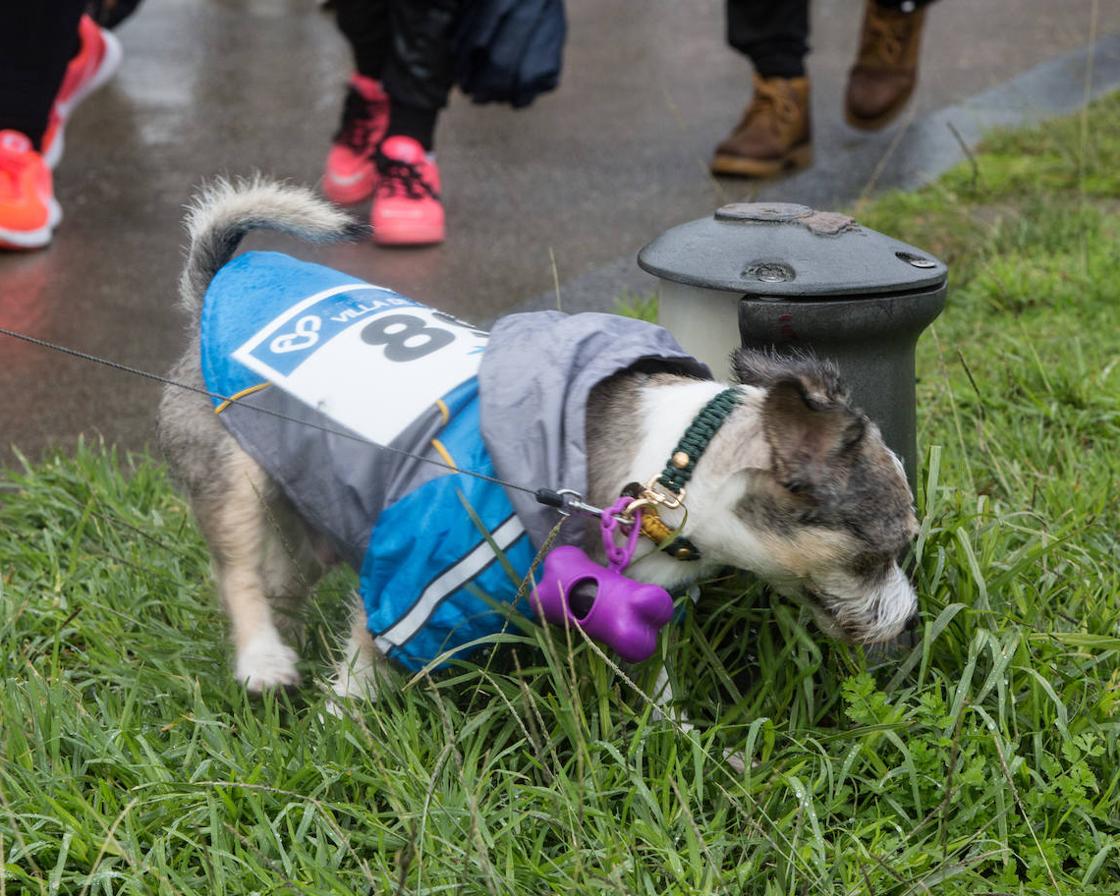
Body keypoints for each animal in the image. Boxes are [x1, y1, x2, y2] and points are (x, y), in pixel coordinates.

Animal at [157, 178, 918, 698]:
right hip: (233, 485)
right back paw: (263, 660)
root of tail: (211, 289)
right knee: (238, 574)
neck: (667, 478)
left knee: (279, 577)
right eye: (881, 553)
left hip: (307, 508)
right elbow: (360, 674)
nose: (911, 626)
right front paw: (342, 731)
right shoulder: (410, 588)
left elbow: (653, 685)